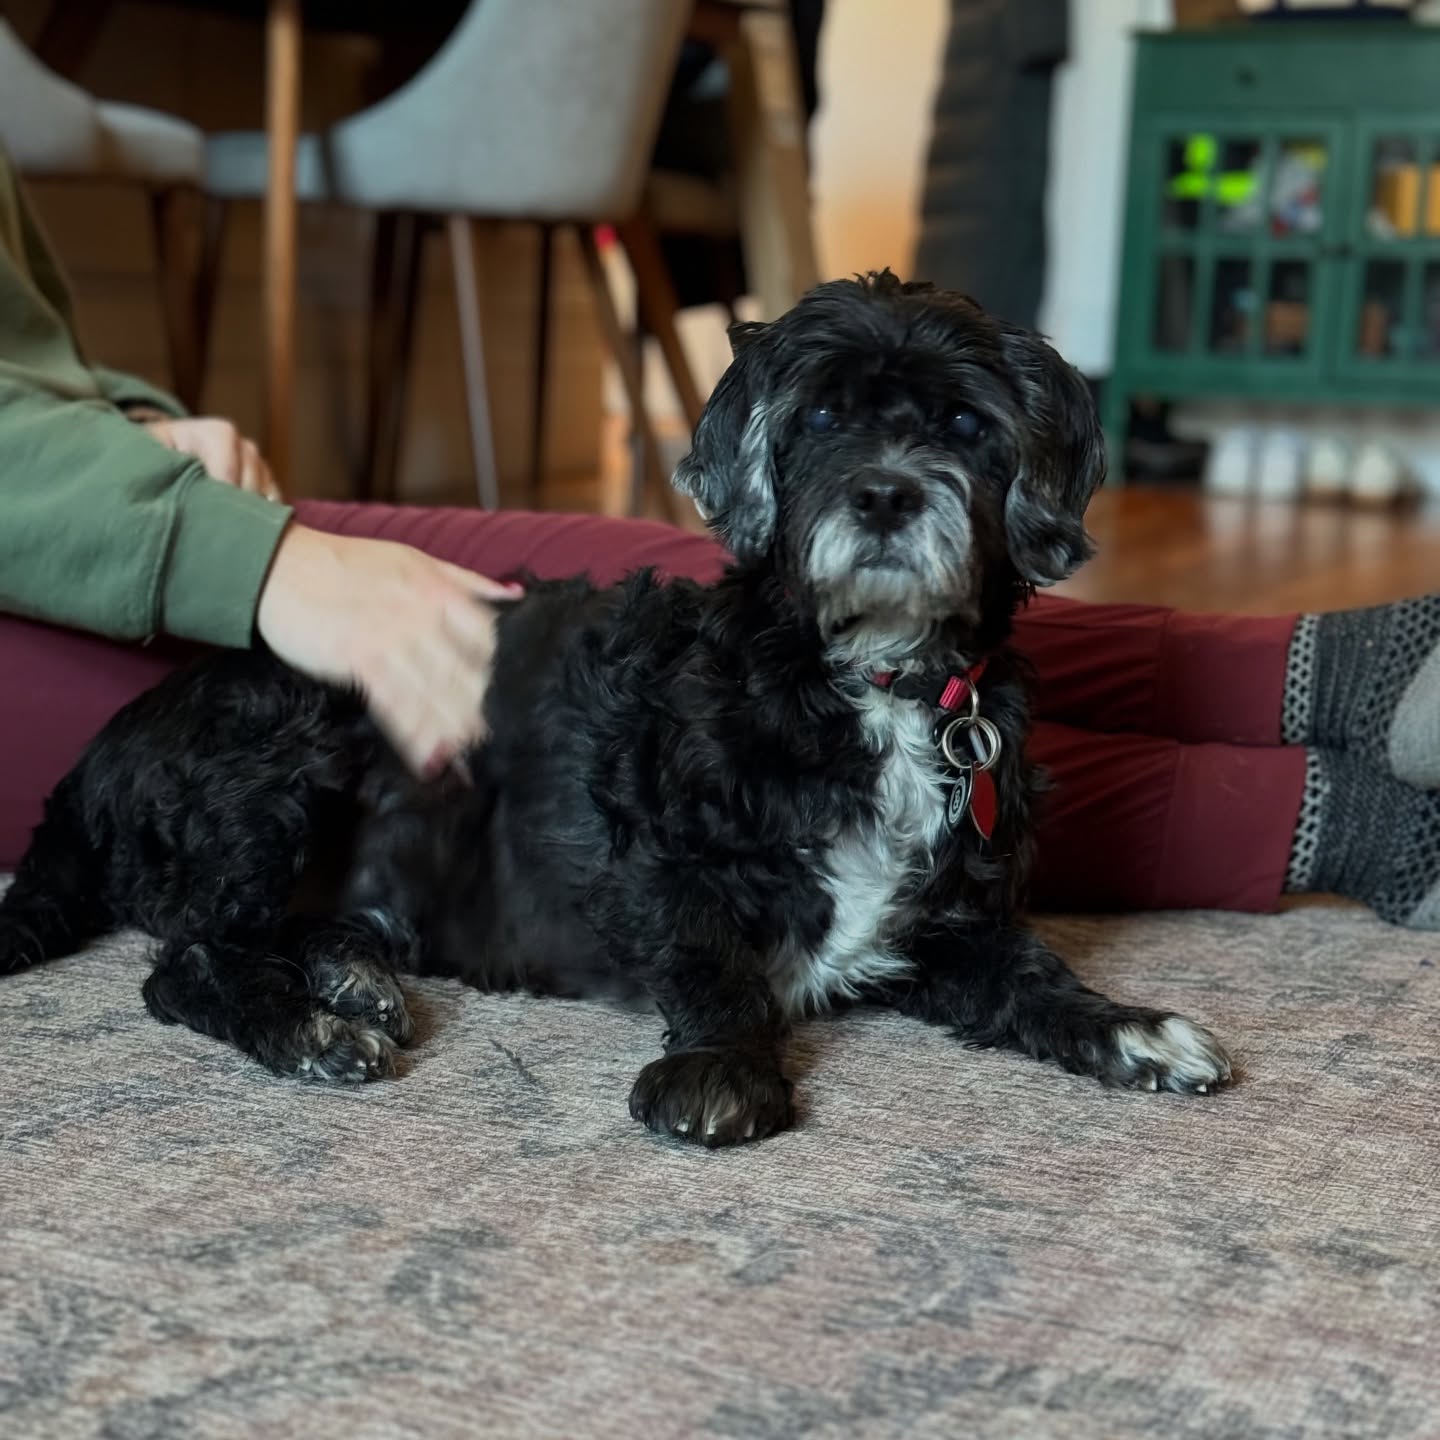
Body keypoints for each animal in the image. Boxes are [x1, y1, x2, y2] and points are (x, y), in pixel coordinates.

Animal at [2, 272, 1226, 1146]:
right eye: (821, 416)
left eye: (968, 426)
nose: (885, 496)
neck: (867, 681)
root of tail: (96, 757)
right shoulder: (657, 867)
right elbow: (711, 959)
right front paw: (720, 1072)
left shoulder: (948, 925)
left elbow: (1032, 976)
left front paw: (1131, 1028)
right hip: (285, 756)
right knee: (184, 963)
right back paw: (310, 1022)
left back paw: (351, 976)